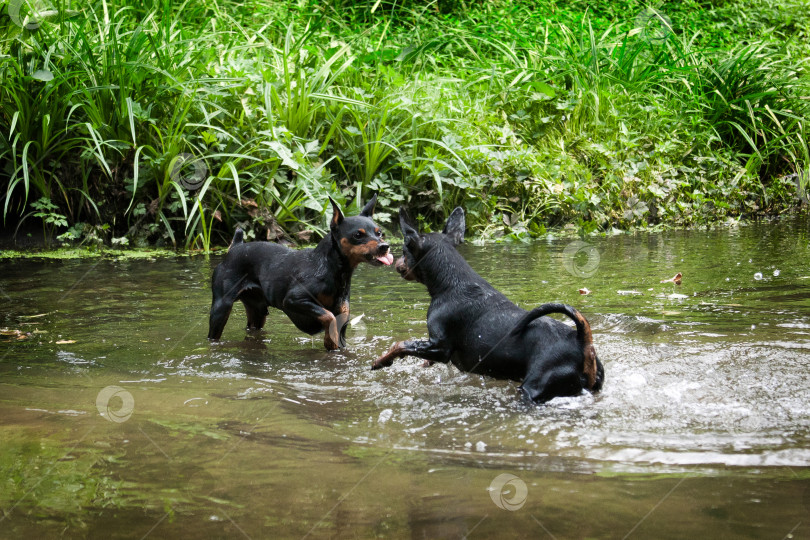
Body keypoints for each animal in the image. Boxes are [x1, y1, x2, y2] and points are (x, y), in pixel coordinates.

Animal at [207, 196, 392, 348]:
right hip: (221, 309)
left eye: (379, 233)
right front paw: (328, 338)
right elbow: (328, 316)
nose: (385, 246)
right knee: (213, 334)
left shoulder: (343, 315)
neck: (333, 270)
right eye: (357, 235)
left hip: (258, 312)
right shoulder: (294, 300)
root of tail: (235, 247)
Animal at [370, 209, 600, 402]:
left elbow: (400, 345)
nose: (396, 263)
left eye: (404, 250)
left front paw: (380, 361)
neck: (449, 284)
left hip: (534, 388)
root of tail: (583, 341)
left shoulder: (440, 347)